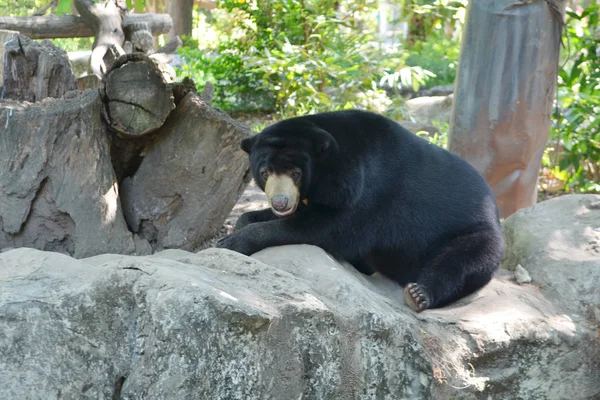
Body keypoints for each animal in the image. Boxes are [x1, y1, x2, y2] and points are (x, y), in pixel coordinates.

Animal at [218, 109, 504, 312]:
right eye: (265, 173)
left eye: (296, 173)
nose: (281, 203)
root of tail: (495, 209)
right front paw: (242, 224)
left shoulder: (367, 188)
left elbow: (332, 228)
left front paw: (231, 242)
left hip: (473, 233)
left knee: (459, 263)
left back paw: (418, 294)